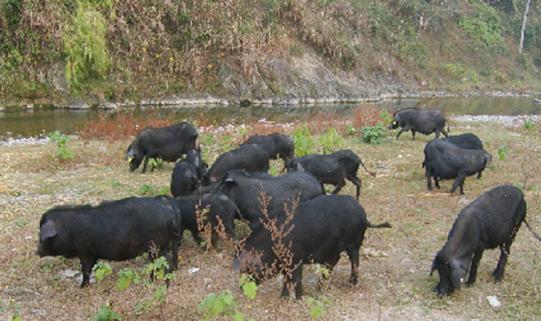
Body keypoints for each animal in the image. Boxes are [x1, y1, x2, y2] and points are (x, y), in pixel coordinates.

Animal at [38, 196, 182, 286]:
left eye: (42, 236)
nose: (37, 252)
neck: (68, 229)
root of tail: (169, 212)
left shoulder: (85, 252)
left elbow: (85, 269)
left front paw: (82, 286)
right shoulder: (92, 254)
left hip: (156, 246)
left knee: (164, 260)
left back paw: (154, 280)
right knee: (173, 254)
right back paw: (173, 270)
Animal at [232, 194, 388, 298]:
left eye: (248, 268)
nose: (241, 288)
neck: (271, 245)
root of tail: (364, 216)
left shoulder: (297, 259)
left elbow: (296, 279)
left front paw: (298, 299)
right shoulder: (287, 264)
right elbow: (287, 279)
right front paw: (283, 298)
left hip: (354, 243)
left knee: (354, 262)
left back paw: (350, 285)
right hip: (332, 250)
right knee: (332, 264)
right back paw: (320, 287)